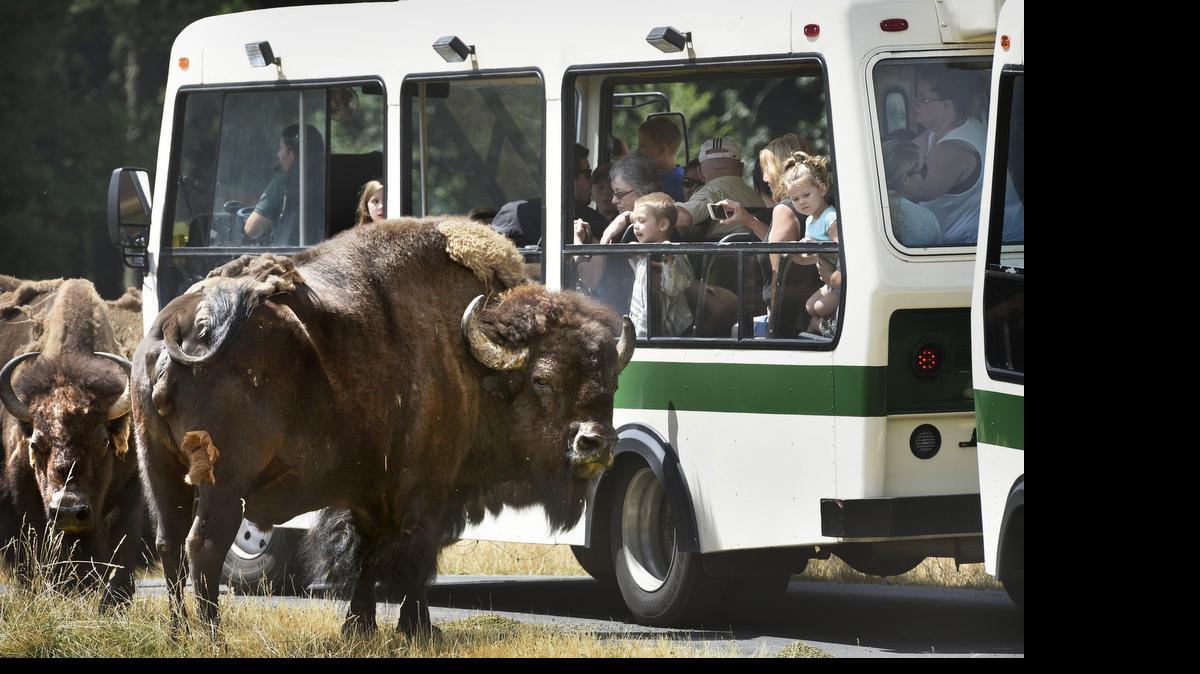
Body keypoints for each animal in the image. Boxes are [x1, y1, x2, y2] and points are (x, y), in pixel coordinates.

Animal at [132, 218, 633, 637]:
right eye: (543, 380)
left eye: (612, 380)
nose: (596, 443)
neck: (467, 361)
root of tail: (174, 326)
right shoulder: (426, 492)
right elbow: (414, 561)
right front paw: (419, 630)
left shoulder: (370, 494)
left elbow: (366, 559)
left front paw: (361, 628)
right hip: (223, 482)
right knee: (204, 545)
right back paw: (212, 634)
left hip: (160, 470)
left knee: (170, 544)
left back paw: (178, 633)